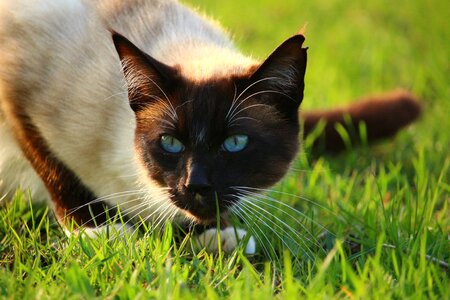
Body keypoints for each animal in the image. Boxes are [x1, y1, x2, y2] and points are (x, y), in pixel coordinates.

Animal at [0, 0, 422, 253]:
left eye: (235, 143)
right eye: (170, 143)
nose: (196, 184)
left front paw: (219, 234)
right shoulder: (15, 91)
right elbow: (54, 168)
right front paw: (96, 231)